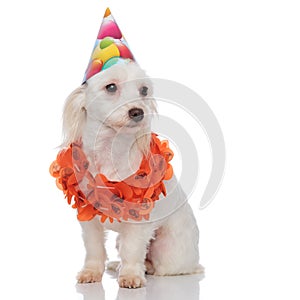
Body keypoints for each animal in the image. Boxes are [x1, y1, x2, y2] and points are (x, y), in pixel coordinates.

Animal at [60, 61, 202, 288]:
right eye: (111, 87)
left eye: (144, 90)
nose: (138, 112)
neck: (110, 151)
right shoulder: (88, 218)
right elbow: (94, 248)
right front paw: (91, 272)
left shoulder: (138, 220)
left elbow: (132, 249)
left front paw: (131, 275)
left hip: (168, 252)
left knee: (162, 267)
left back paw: (146, 268)